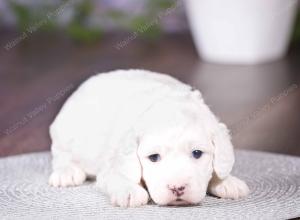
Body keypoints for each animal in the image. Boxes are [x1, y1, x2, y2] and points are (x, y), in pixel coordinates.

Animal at [49, 69, 250, 207]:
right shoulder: (113, 164)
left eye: (197, 153)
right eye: (154, 157)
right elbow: (116, 175)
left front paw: (227, 181)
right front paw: (129, 191)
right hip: (64, 132)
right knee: (60, 154)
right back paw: (66, 172)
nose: (177, 187)